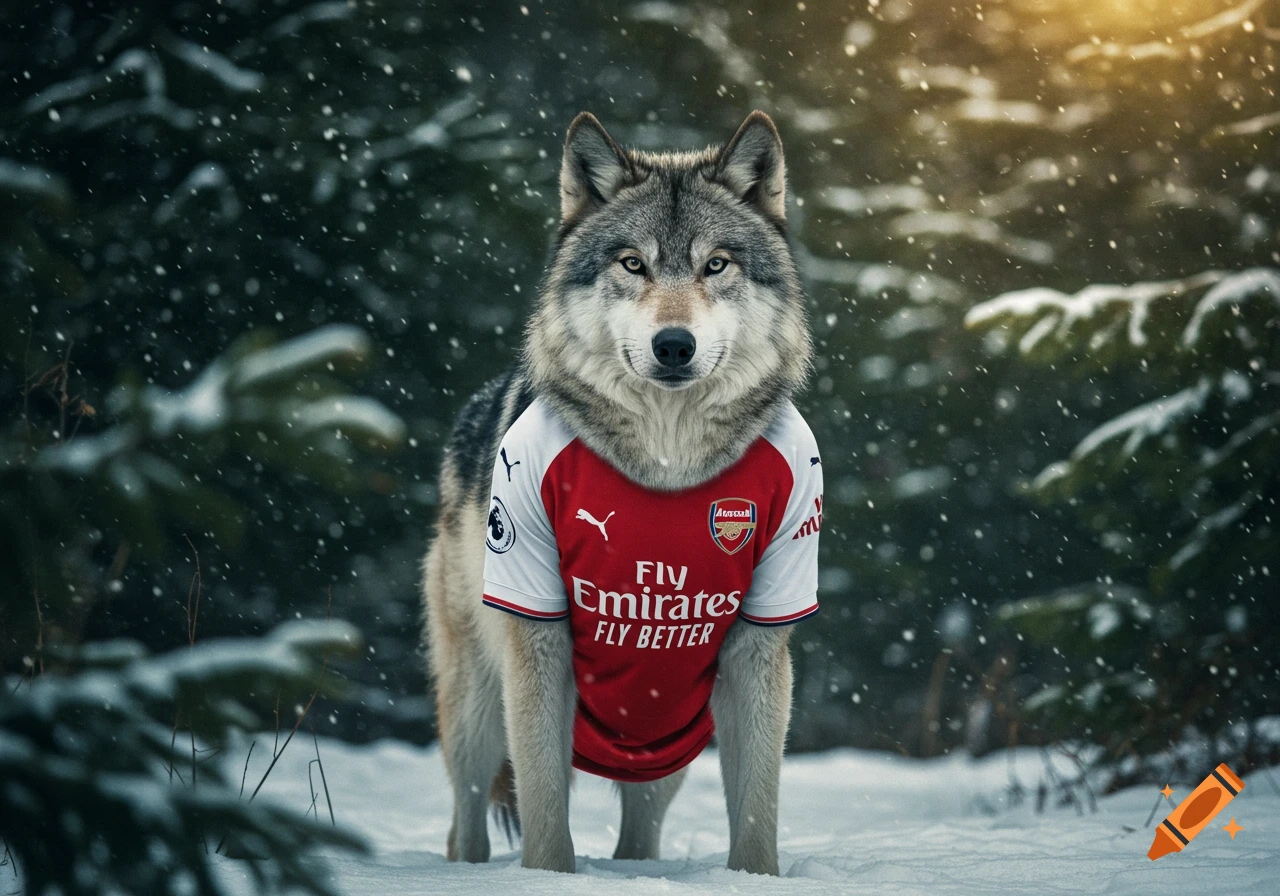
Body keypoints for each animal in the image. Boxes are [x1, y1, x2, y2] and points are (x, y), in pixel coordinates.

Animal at [422, 111, 820, 876]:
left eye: (715, 264)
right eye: (632, 264)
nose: (674, 345)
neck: (667, 460)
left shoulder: (761, 638)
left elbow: (759, 807)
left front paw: (754, 880)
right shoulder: (536, 632)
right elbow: (547, 814)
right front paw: (548, 881)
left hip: (664, 738)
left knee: (641, 829)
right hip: (478, 706)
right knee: (467, 816)